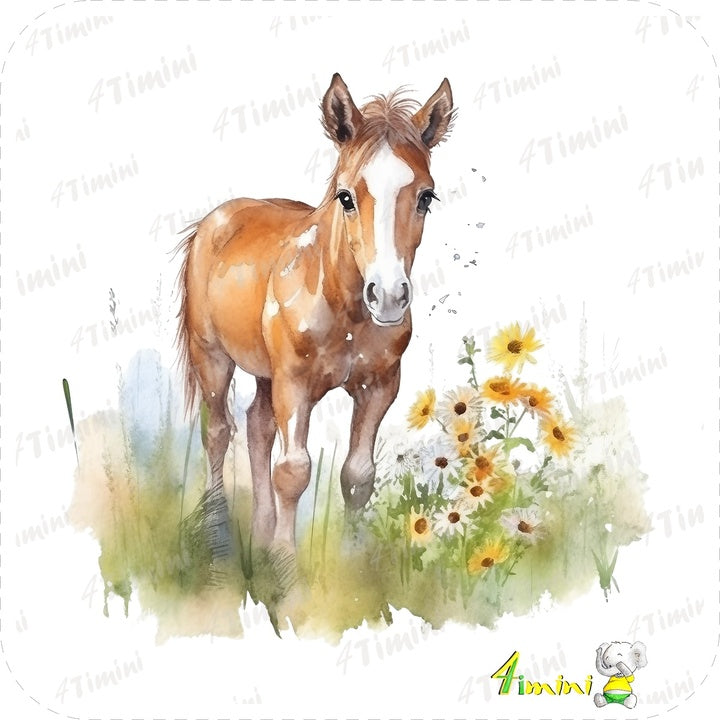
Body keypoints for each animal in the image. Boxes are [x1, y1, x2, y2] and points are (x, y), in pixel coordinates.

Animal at [176, 73, 454, 551]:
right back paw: (217, 528)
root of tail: (214, 221)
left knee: (257, 428)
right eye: (346, 196)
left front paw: (349, 556)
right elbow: (293, 471)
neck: (345, 311)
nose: (388, 297)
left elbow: (358, 475)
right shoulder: (295, 384)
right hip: (212, 356)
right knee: (218, 431)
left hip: (265, 375)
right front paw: (286, 561)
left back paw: (260, 533)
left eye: (426, 197)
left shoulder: (379, 387)